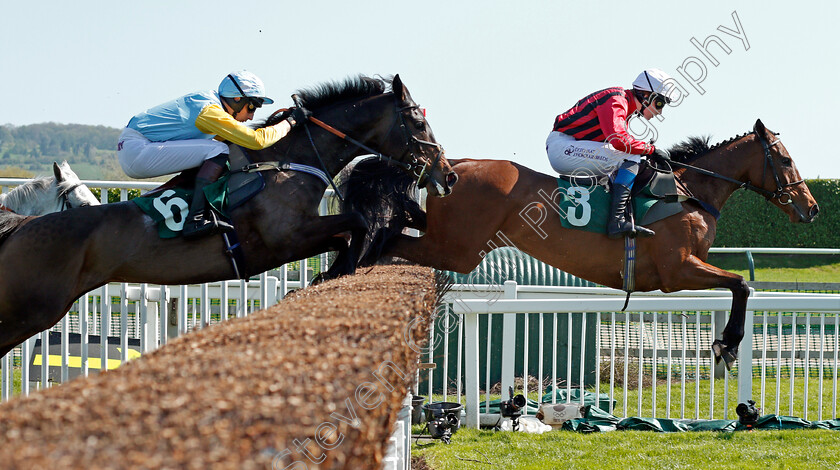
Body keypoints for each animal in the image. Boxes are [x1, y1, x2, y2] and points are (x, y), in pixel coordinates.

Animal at [0, 75, 460, 358]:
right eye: (418, 121)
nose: (448, 174)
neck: (288, 162)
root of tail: (21, 228)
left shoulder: (296, 237)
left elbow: (349, 234)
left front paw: (330, 274)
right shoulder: (285, 238)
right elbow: (357, 226)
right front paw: (338, 270)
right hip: (30, 308)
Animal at [338, 119, 816, 370]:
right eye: (786, 159)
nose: (811, 209)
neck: (689, 192)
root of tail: (454, 164)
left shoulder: (688, 267)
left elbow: (739, 284)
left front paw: (726, 345)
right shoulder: (676, 270)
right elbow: (741, 283)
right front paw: (727, 344)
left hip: (447, 240)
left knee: (390, 227)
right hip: (456, 248)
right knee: (385, 242)